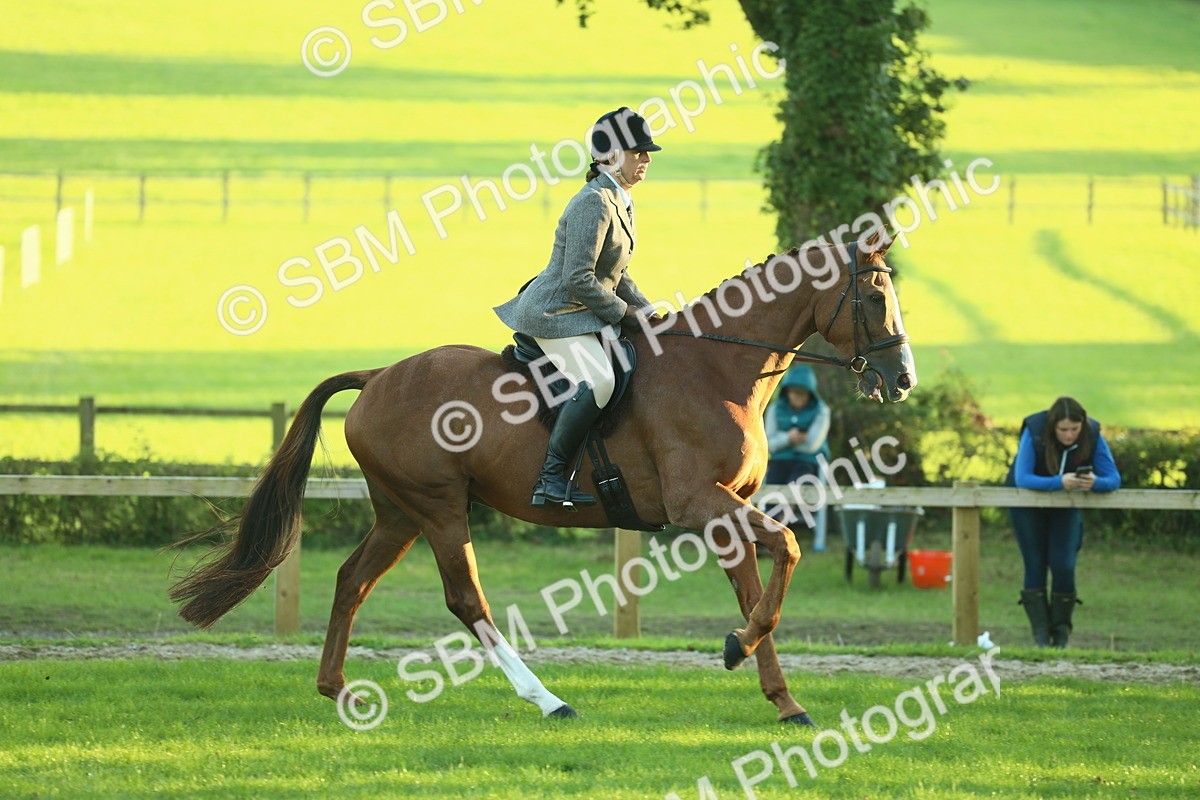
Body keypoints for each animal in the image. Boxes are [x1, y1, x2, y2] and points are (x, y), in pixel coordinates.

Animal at [170, 236, 916, 726]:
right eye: (876, 294)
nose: (903, 378)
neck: (716, 369)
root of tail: (378, 377)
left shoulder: (725, 509)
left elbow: (757, 590)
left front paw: (780, 696)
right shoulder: (699, 505)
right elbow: (786, 549)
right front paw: (740, 650)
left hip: (400, 512)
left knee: (353, 580)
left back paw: (339, 692)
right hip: (440, 509)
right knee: (467, 601)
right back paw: (548, 699)